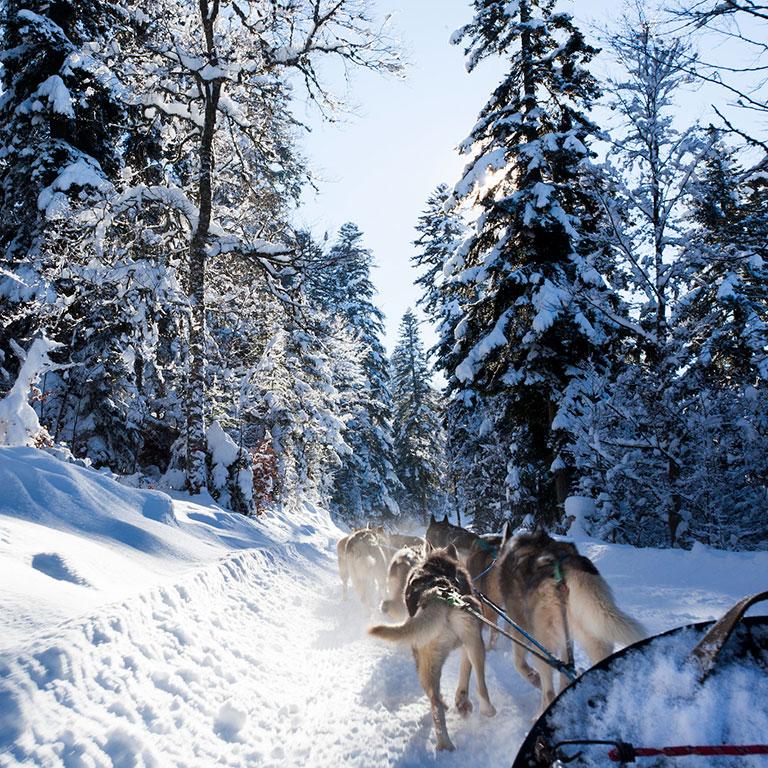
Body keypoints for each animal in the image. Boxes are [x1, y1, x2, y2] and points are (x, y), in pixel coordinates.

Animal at [370, 544, 498, 752]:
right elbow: (465, 672)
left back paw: (445, 741)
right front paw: (461, 700)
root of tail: (437, 599)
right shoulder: (467, 645)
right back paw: (481, 712)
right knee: (479, 682)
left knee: (436, 703)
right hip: (472, 643)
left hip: (428, 660)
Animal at [492, 528, 648, 712]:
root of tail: (567, 570)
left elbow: (519, 663)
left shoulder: (520, 625)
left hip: (544, 642)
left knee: (549, 691)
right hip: (591, 636)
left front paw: (532, 677)